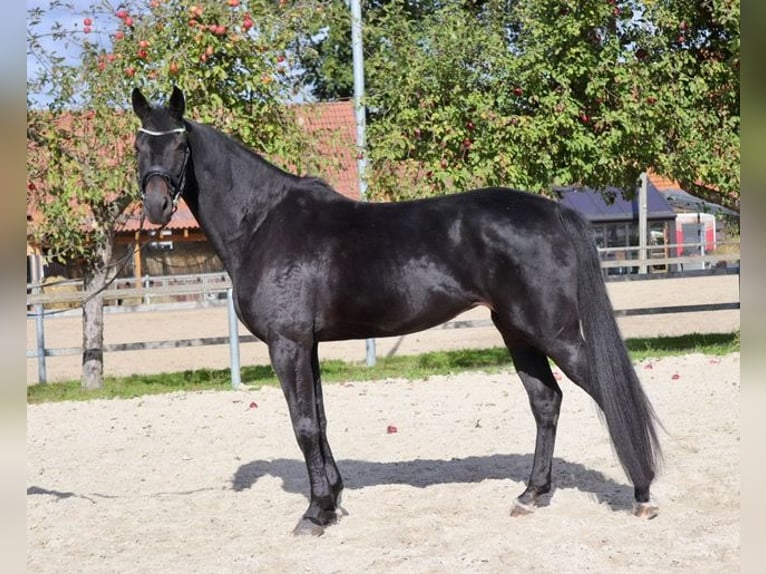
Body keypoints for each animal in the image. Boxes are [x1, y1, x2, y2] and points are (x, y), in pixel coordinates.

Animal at [131, 87, 662, 535]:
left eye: (180, 145)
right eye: (139, 144)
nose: (157, 208)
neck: (263, 223)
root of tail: (554, 212)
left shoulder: (288, 345)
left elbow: (303, 426)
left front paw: (314, 514)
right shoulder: (309, 346)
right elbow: (319, 419)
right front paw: (332, 501)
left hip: (554, 332)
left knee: (606, 394)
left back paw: (642, 492)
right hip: (515, 329)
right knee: (546, 401)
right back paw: (531, 494)